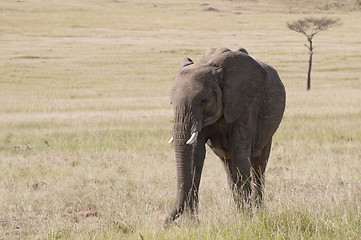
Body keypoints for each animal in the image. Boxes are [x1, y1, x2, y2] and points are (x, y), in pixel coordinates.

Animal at [165, 47, 286, 225]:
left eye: (204, 100)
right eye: (172, 103)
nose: (164, 223)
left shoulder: (246, 104)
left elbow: (240, 154)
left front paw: (246, 219)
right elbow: (196, 154)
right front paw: (193, 223)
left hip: (268, 130)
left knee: (258, 165)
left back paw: (258, 211)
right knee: (229, 169)